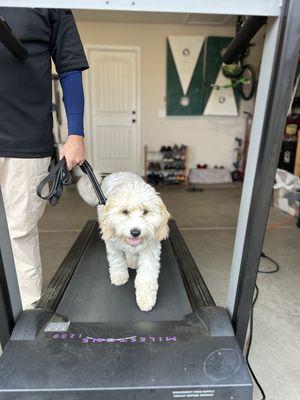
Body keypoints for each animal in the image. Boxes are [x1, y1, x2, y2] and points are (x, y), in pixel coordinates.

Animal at [77, 172, 170, 312]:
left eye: (145, 211)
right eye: (125, 212)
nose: (135, 232)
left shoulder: (150, 250)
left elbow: (147, 275)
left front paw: (146, 298)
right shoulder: (112, 245)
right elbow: (117, 261)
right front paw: (119, 276)